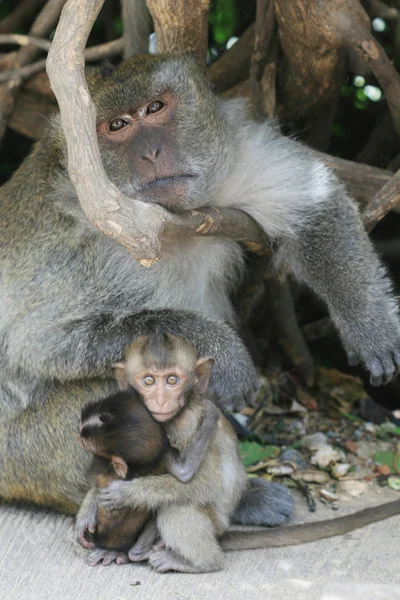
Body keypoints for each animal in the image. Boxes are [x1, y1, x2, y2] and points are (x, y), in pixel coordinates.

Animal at [0, 51, 398, 520]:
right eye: (117, 125)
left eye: (155, 108)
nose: (151, 152)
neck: (168, 225)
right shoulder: (82, 239)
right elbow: (40, 343)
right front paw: (225, 353)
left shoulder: (232, 165)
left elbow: (315, 200)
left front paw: (368, 322)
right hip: (27, 455)